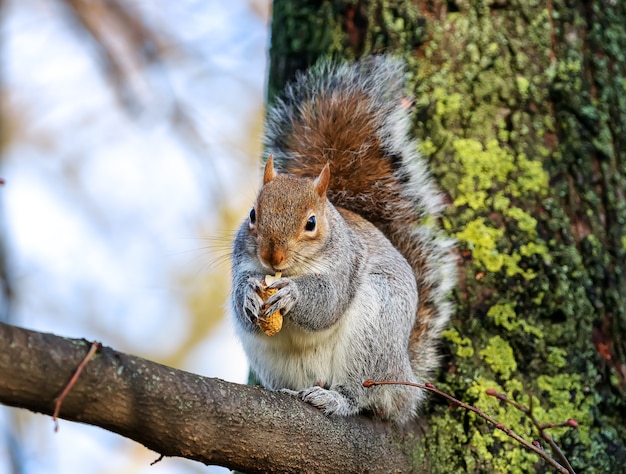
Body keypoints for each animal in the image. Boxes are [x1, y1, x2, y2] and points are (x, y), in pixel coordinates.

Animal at [228, 55, 454, 422]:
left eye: (311, 223)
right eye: (252, 215)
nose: (272, 258)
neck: (291, 270)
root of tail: (404, 379)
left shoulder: (345, 264)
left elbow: (328, 303)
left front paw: (292, 294)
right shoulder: (242, 262)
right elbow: (242, 302)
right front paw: (248, 293)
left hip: (373, 335)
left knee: (360, 395)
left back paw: (334, 398)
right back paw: (293, 391)